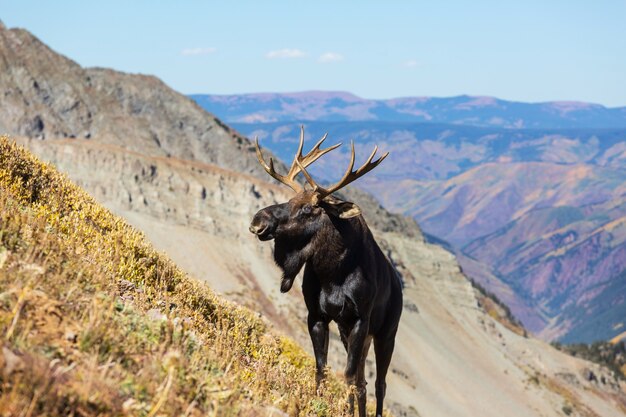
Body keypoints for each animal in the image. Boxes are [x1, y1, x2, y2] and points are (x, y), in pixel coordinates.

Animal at [246, 127, 402, 416]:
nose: (258, 220)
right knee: (364, 382)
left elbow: (348, 376)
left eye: (308, 209)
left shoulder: (360, 319)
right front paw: (315, 404)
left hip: (386, 332)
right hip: (351, 331)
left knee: (379, 384)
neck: (333, 272)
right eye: (290, 199)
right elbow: (322, 370)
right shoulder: (318, 315)